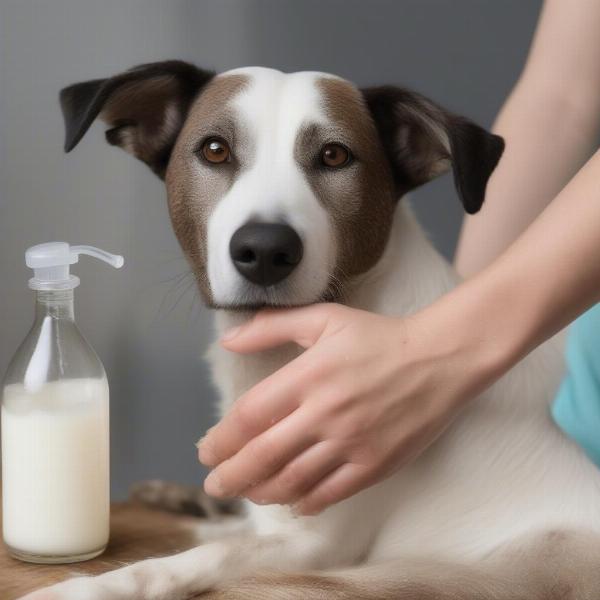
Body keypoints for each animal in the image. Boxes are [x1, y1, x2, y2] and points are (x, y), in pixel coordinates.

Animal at [25, 62, 600, 600]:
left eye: (335, 156)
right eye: (214, 150)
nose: (264, 250)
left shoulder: (316, 542)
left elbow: (197, 558)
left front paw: (88, 586)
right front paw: (189, 506)